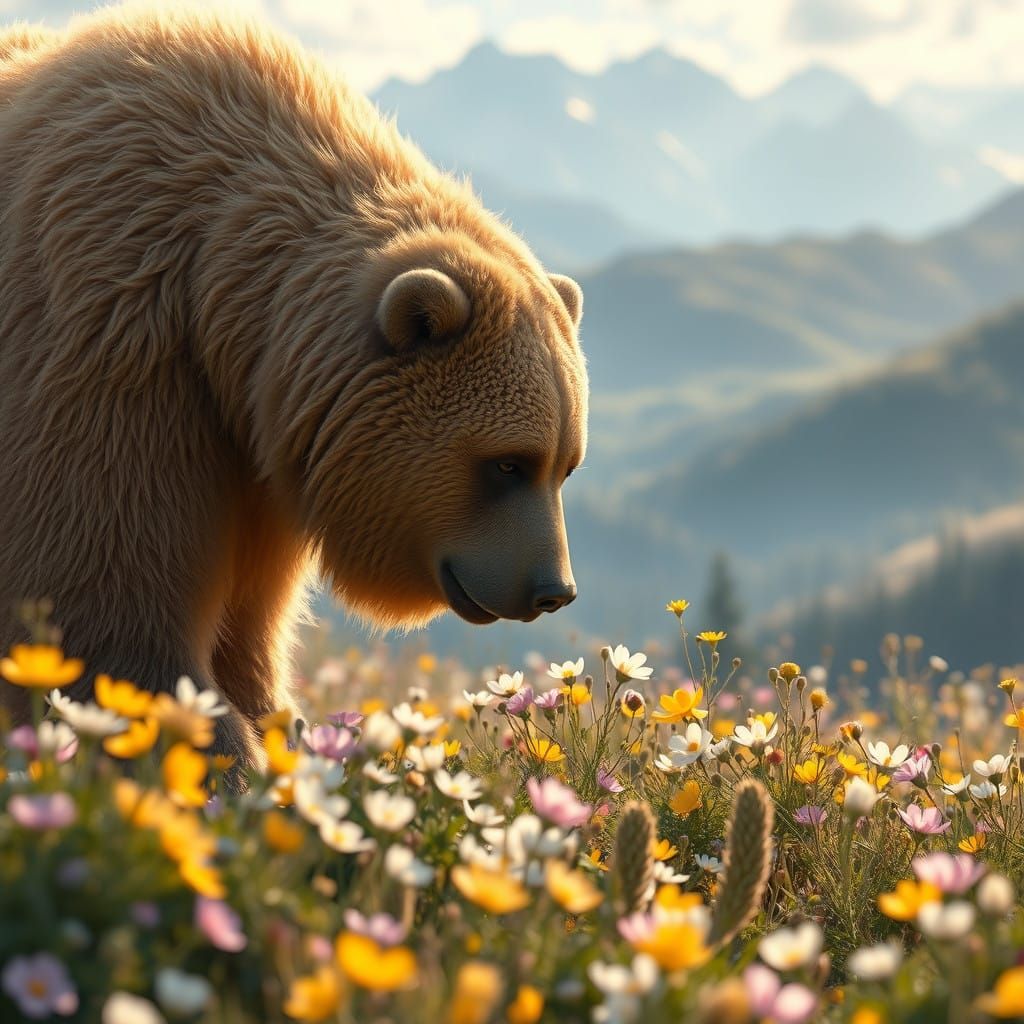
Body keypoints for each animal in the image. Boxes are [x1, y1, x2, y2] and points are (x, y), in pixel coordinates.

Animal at [0, 7, 588, 771]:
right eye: (508, 462)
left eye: (566, 464)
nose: (552, 590)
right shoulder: (109, 341)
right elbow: (102, 611)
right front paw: (224, 762)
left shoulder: (252, 457)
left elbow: (247, 626)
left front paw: (284, 729)